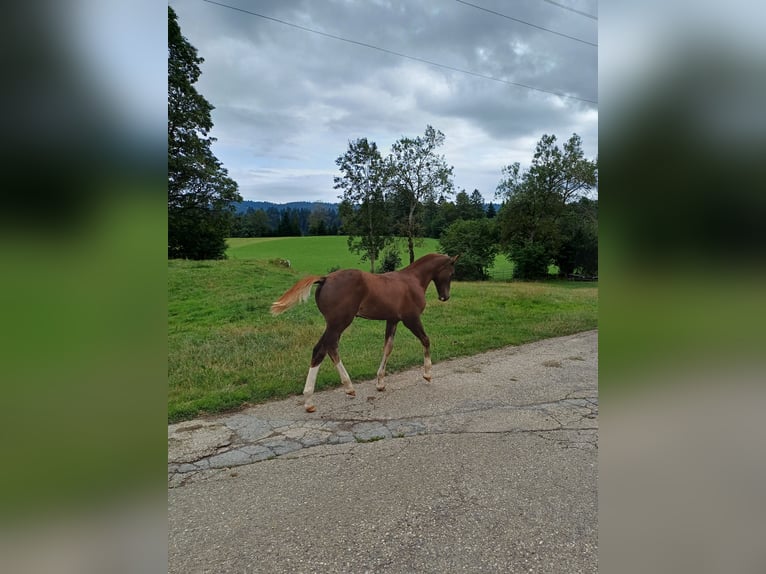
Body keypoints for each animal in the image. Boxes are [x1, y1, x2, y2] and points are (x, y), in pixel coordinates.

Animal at [272, 254, 460, 412]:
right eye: (451, 273)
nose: (445, 297)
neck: (412, 280)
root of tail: (325, 279)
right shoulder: (411, 319)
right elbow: (426, 340)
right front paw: (427, 374)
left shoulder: (392, 320)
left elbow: (388, 348)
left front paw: (380, 383)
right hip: (338, 323)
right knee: (323, 349)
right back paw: (313, 399)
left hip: (335, 324)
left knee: (329, 348)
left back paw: (345, 388)